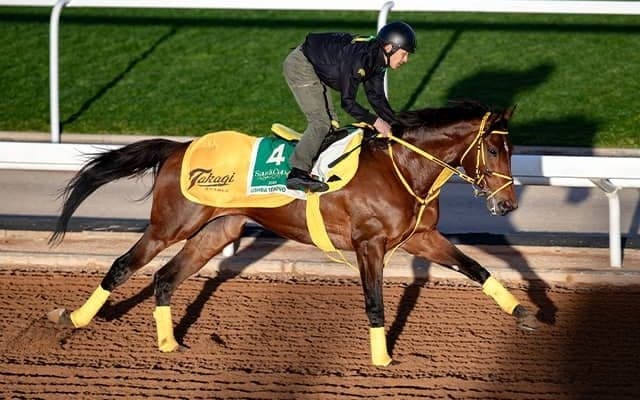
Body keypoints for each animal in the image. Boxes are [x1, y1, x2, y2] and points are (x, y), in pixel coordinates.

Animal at [47, 101, 537, 367]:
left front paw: (524, 313)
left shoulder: (420, 237)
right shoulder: (369, 244)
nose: (507, 205)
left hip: (217, 230)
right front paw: (381, 358)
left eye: (514, 149)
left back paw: (170, 344)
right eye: (495, 149)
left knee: (165, 278)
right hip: (171, 224)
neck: (403, 166)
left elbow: (477, 268)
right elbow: (375, 303)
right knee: (123, 266)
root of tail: (177, 148)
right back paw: (73, 320)